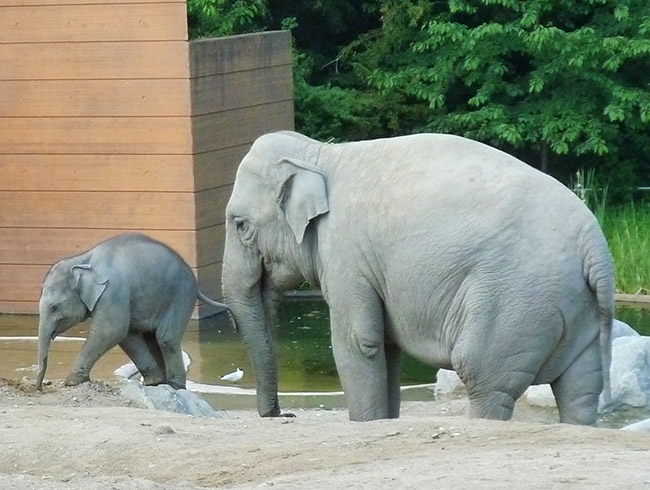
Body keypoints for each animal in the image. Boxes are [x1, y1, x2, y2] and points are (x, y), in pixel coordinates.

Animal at [36, 233, 228, 390]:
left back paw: (175, 386)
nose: (39, 387)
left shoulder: (114, 293)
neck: (83, 259)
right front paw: (153, 381)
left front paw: (71, 382)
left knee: (166, 339)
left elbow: (111, 331)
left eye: (55, 308)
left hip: (181, 295)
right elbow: (127, 335)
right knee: (152, 338)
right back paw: (161, 383)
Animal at [223, 131, 612, 424]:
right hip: (576, 308)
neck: (319, 153)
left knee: (483, 376)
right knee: (581, 389)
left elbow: (359, 342)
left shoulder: (345, 252)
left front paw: (366, 422)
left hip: (514, 300)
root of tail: (595, 246)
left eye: (240, 225)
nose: (280, 414)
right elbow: (387, 346)